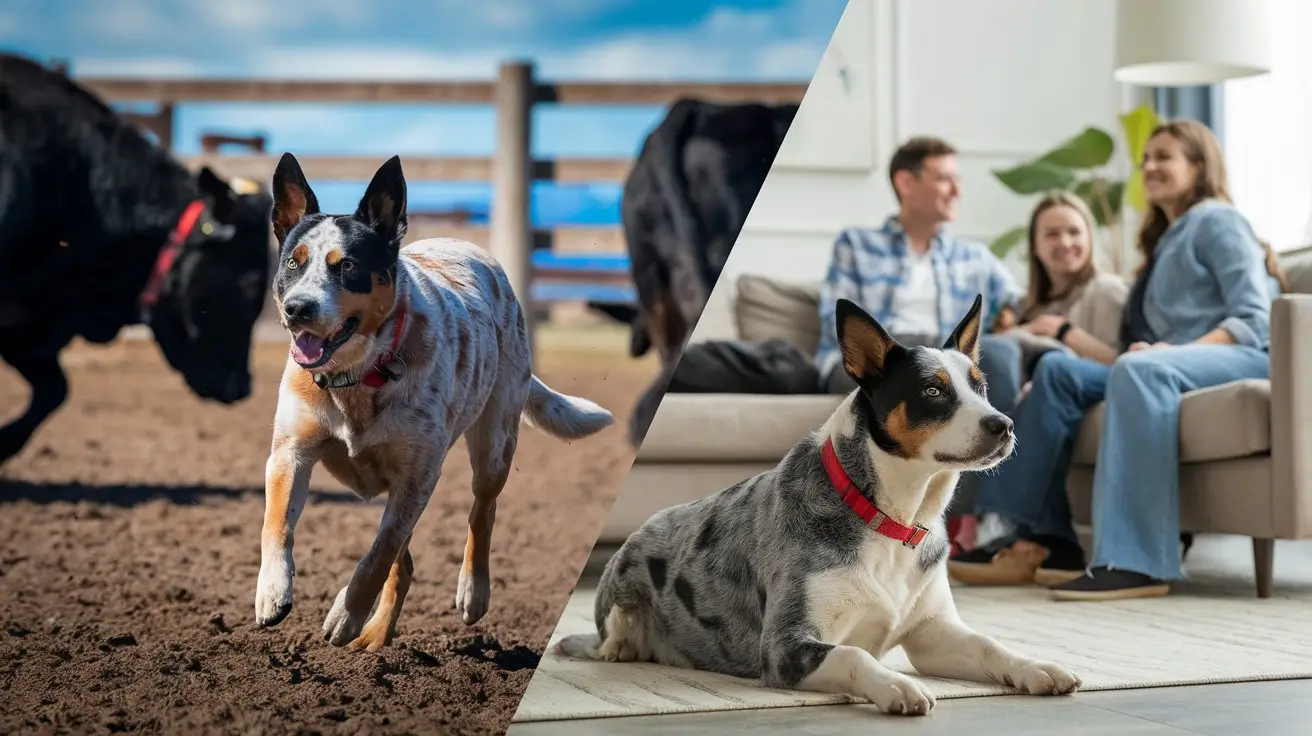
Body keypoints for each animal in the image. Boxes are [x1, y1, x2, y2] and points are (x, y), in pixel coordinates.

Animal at [254, 152, 614, 645]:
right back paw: (375, 638)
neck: (359, 377)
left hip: (496, 440)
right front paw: (272, 593)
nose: (298, 308)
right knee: (404, 563)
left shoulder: (418, 475)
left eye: (347, 266)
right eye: (293, 261)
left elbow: (378, 554)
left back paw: (471, 592)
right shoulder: (290, 452)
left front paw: (345, 615)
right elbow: (276, 525)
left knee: (481, 511)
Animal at [558, 292, 1081, 713]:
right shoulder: (786, 648)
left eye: (981, 386)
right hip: (620, 595)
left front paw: (1038, 667)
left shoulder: (933, 633)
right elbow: (854, 654)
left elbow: (991, 646)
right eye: (932, 390)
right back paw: (621, 648)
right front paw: (896, 686)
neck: (889, 518)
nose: (1004, 425)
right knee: (612, 636)